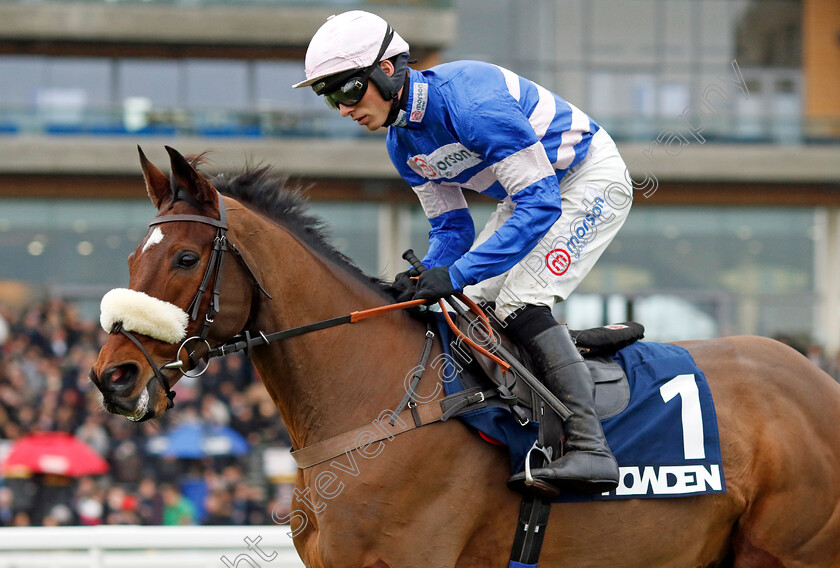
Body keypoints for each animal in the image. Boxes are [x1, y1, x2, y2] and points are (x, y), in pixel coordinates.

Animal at [88, 148, 840, 568]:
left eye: (186, 259)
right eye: (129, 258)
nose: (111, 377)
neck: (376, 408)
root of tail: (817, 378)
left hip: (789, 552)